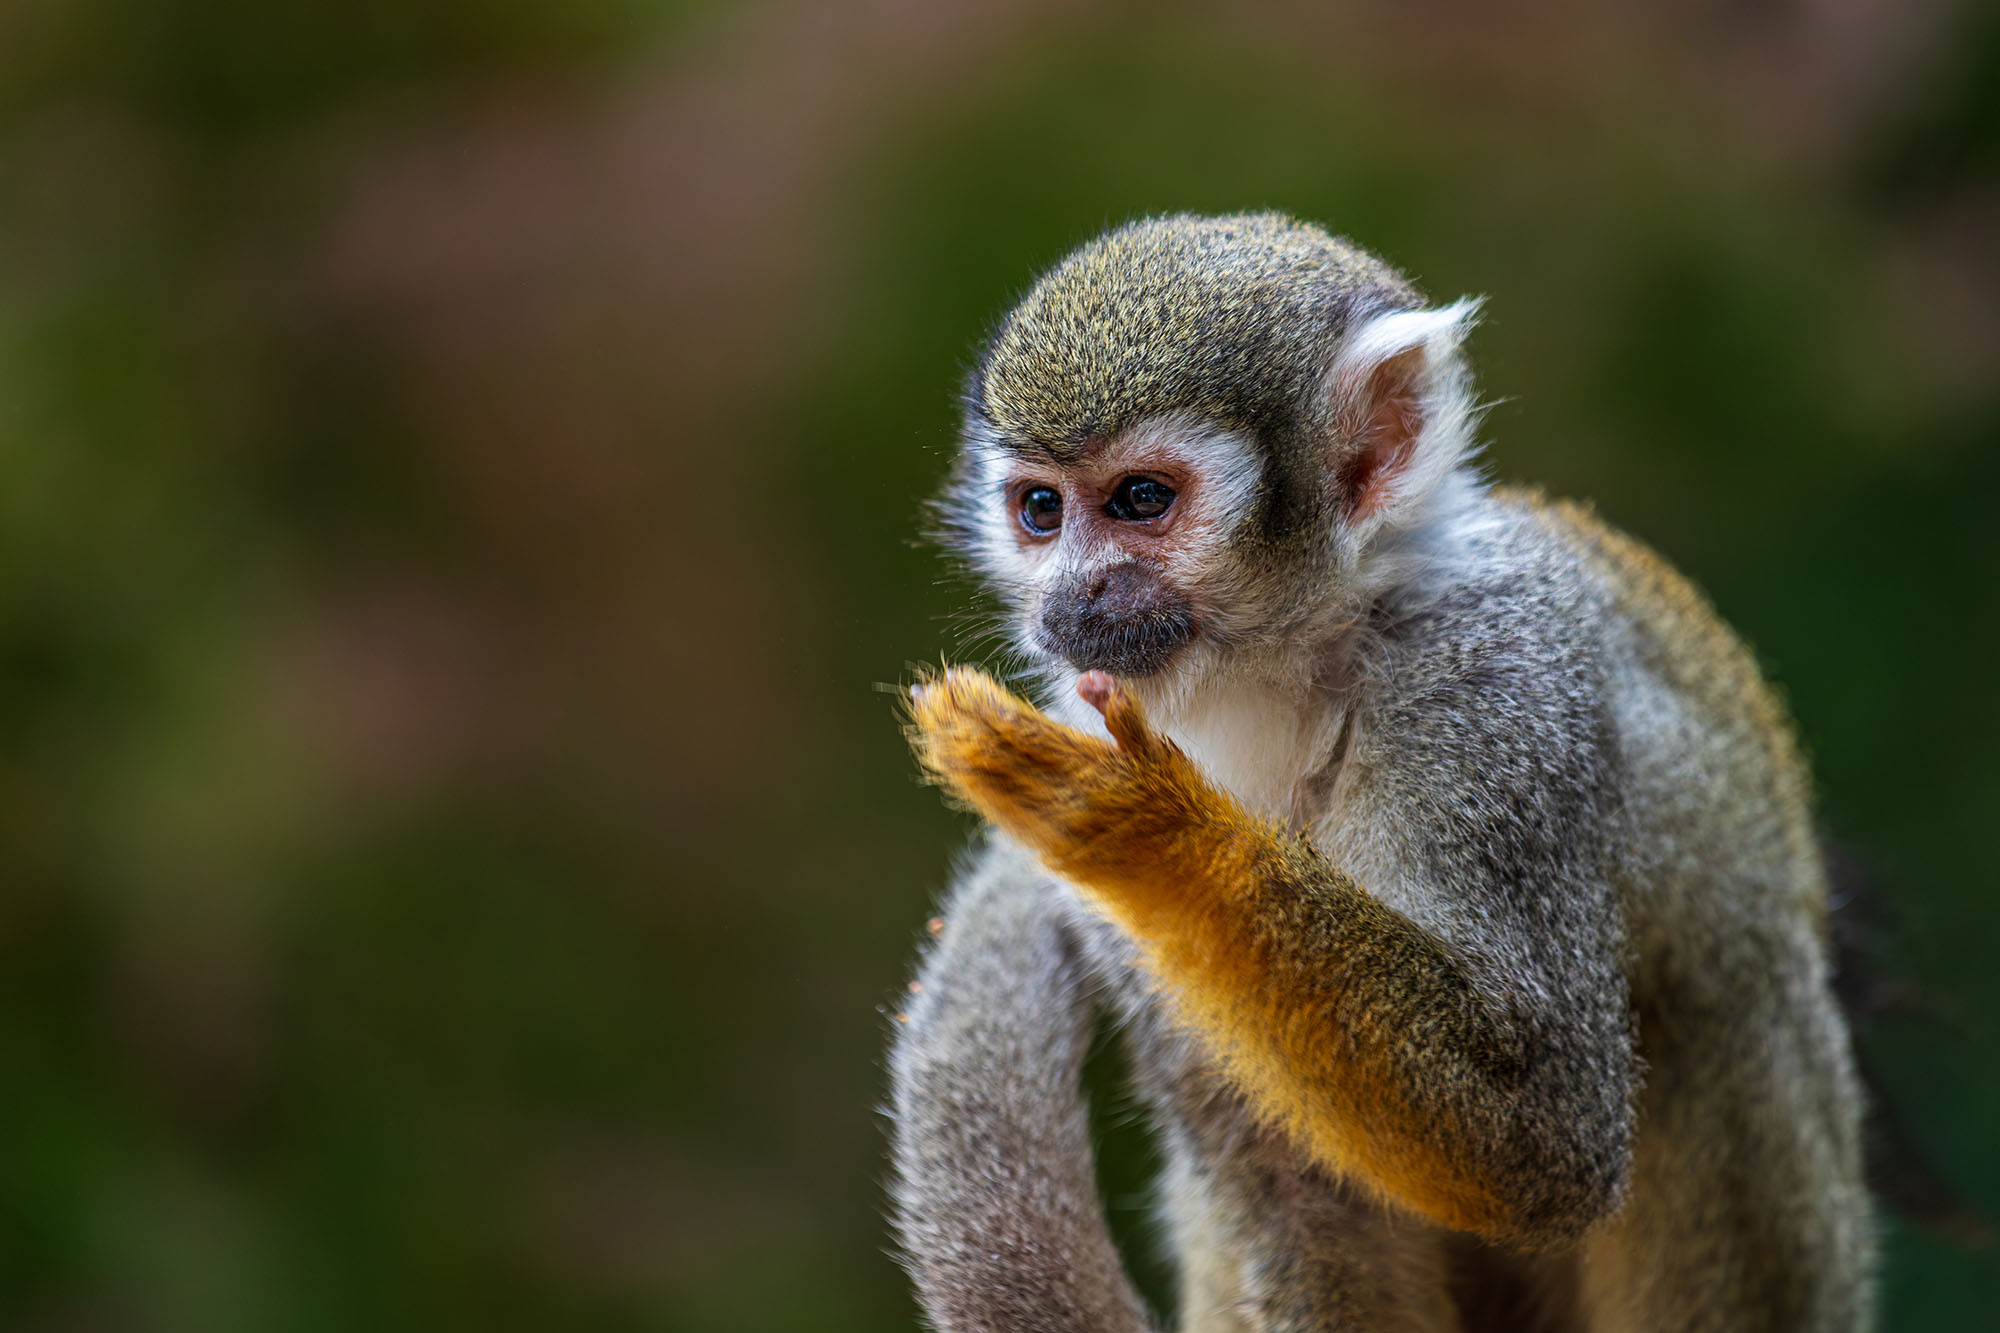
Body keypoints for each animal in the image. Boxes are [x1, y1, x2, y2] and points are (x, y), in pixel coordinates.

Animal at [887, 213, 1874, 1332]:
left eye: (1140, 499)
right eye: (1041, 511)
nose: (1073, 595)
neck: (1281, 666)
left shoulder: (1491, 682)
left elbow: (1545, 1130)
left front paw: (1144, 827)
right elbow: (1297, 1193)